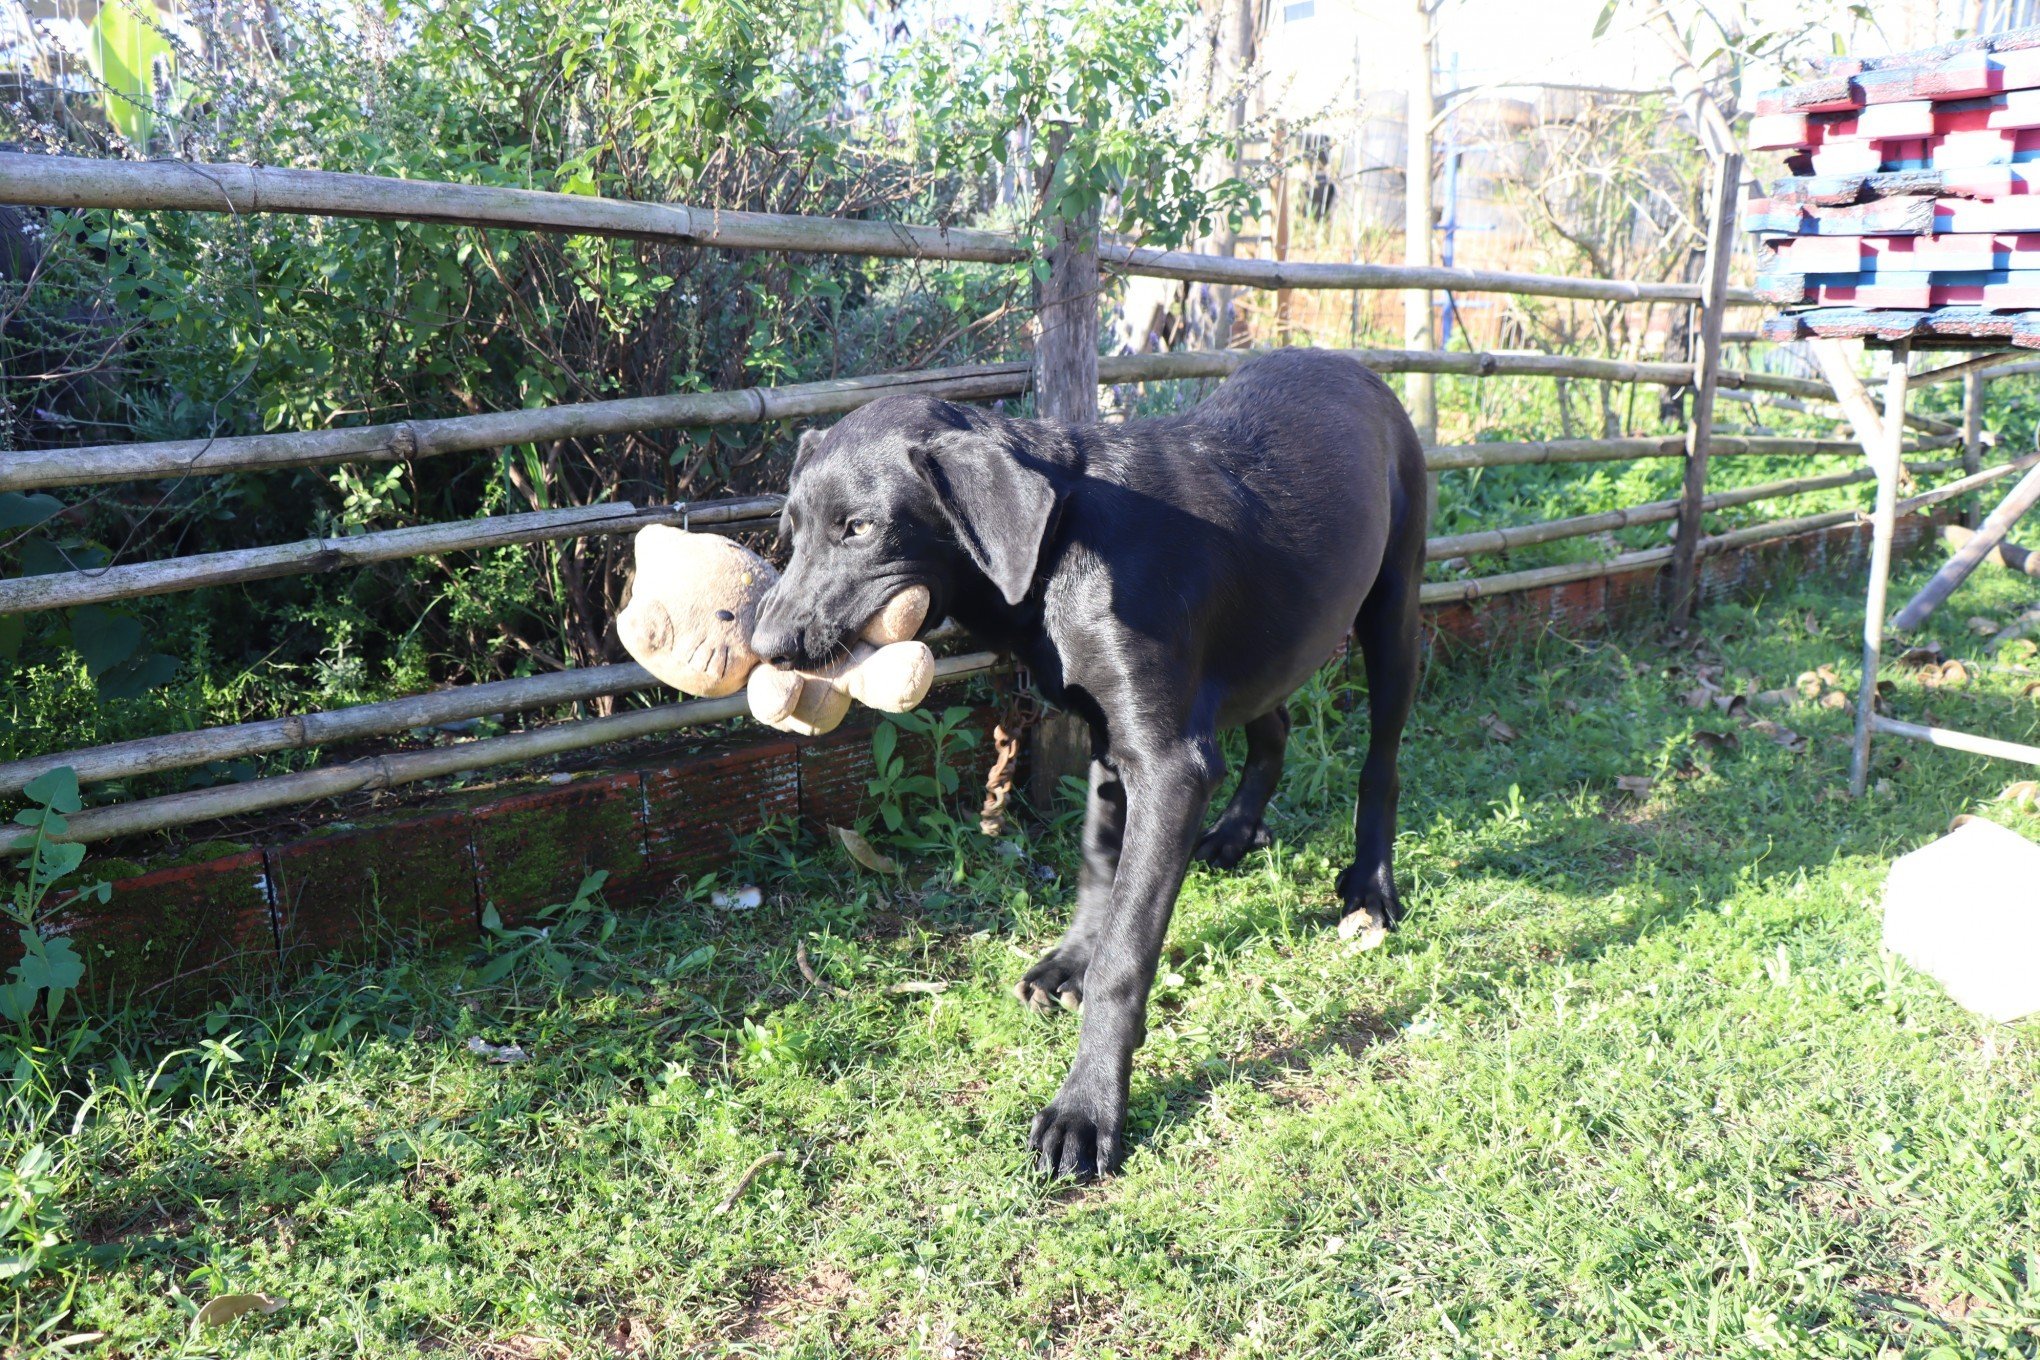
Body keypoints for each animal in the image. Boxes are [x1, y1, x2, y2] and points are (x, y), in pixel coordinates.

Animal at [750, 350, 1419, 1182]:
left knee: (1382, 761)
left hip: (1392, 609)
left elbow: (1126, 957)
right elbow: (1099, 870)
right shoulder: (1113, 743)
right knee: (1276, 723)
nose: (764, 646)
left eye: (860, 528)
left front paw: (1087, 1107)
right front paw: (1070, 959)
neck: (1061, 547)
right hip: (1262, 650)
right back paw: (1237, 831)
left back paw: (1372, 884)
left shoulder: (1166, 766)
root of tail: (1354, 365)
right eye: (793, 530)